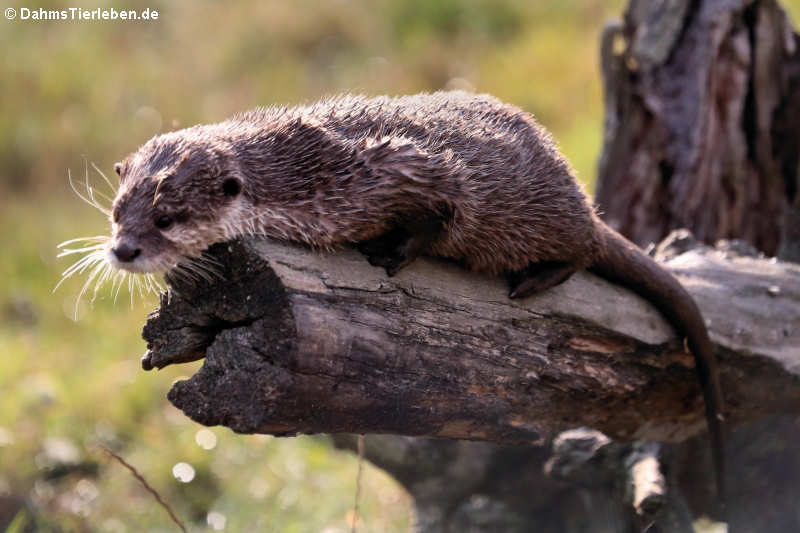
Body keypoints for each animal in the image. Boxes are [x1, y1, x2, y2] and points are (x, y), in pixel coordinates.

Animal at [101, 90, 724, 498]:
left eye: (167, 217)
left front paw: (391, 252)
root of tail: (574, 194)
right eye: (118, 210)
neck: (303, 174)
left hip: (548, 217)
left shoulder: (405, 169)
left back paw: (534, 278)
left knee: (583, 247)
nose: (123, 250)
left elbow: (438, 217)